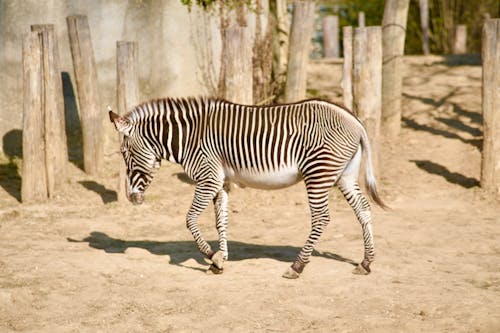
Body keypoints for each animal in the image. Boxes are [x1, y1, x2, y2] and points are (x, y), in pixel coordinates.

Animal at [107, 96, 384, 278]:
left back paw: (297, 266)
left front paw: (212, 256)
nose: (131, 198)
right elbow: (220, 221)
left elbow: (190, 219)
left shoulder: (208, 178)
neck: (189, 137)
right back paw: (366, 262)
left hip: (318, 173)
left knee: (321, 218)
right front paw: (220, 260)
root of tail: (353, 119)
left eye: (124, 153)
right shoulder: (220, 182)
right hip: (345, 175)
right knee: (364, 209)